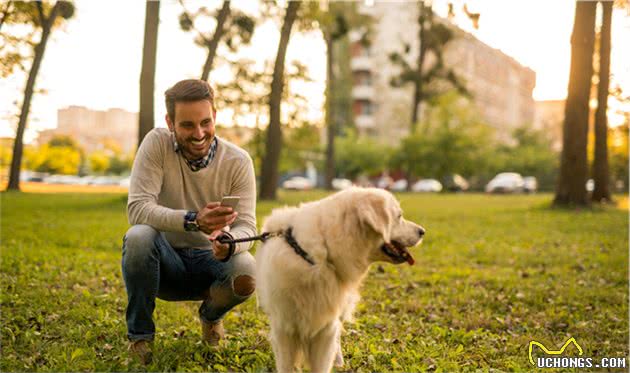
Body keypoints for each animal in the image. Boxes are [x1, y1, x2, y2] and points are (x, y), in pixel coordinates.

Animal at [254, 187, 428, 370]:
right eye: (399, 216)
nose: (422, 231)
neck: (317, 256)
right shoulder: (284, 328)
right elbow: (286, 365)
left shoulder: (326, 327)